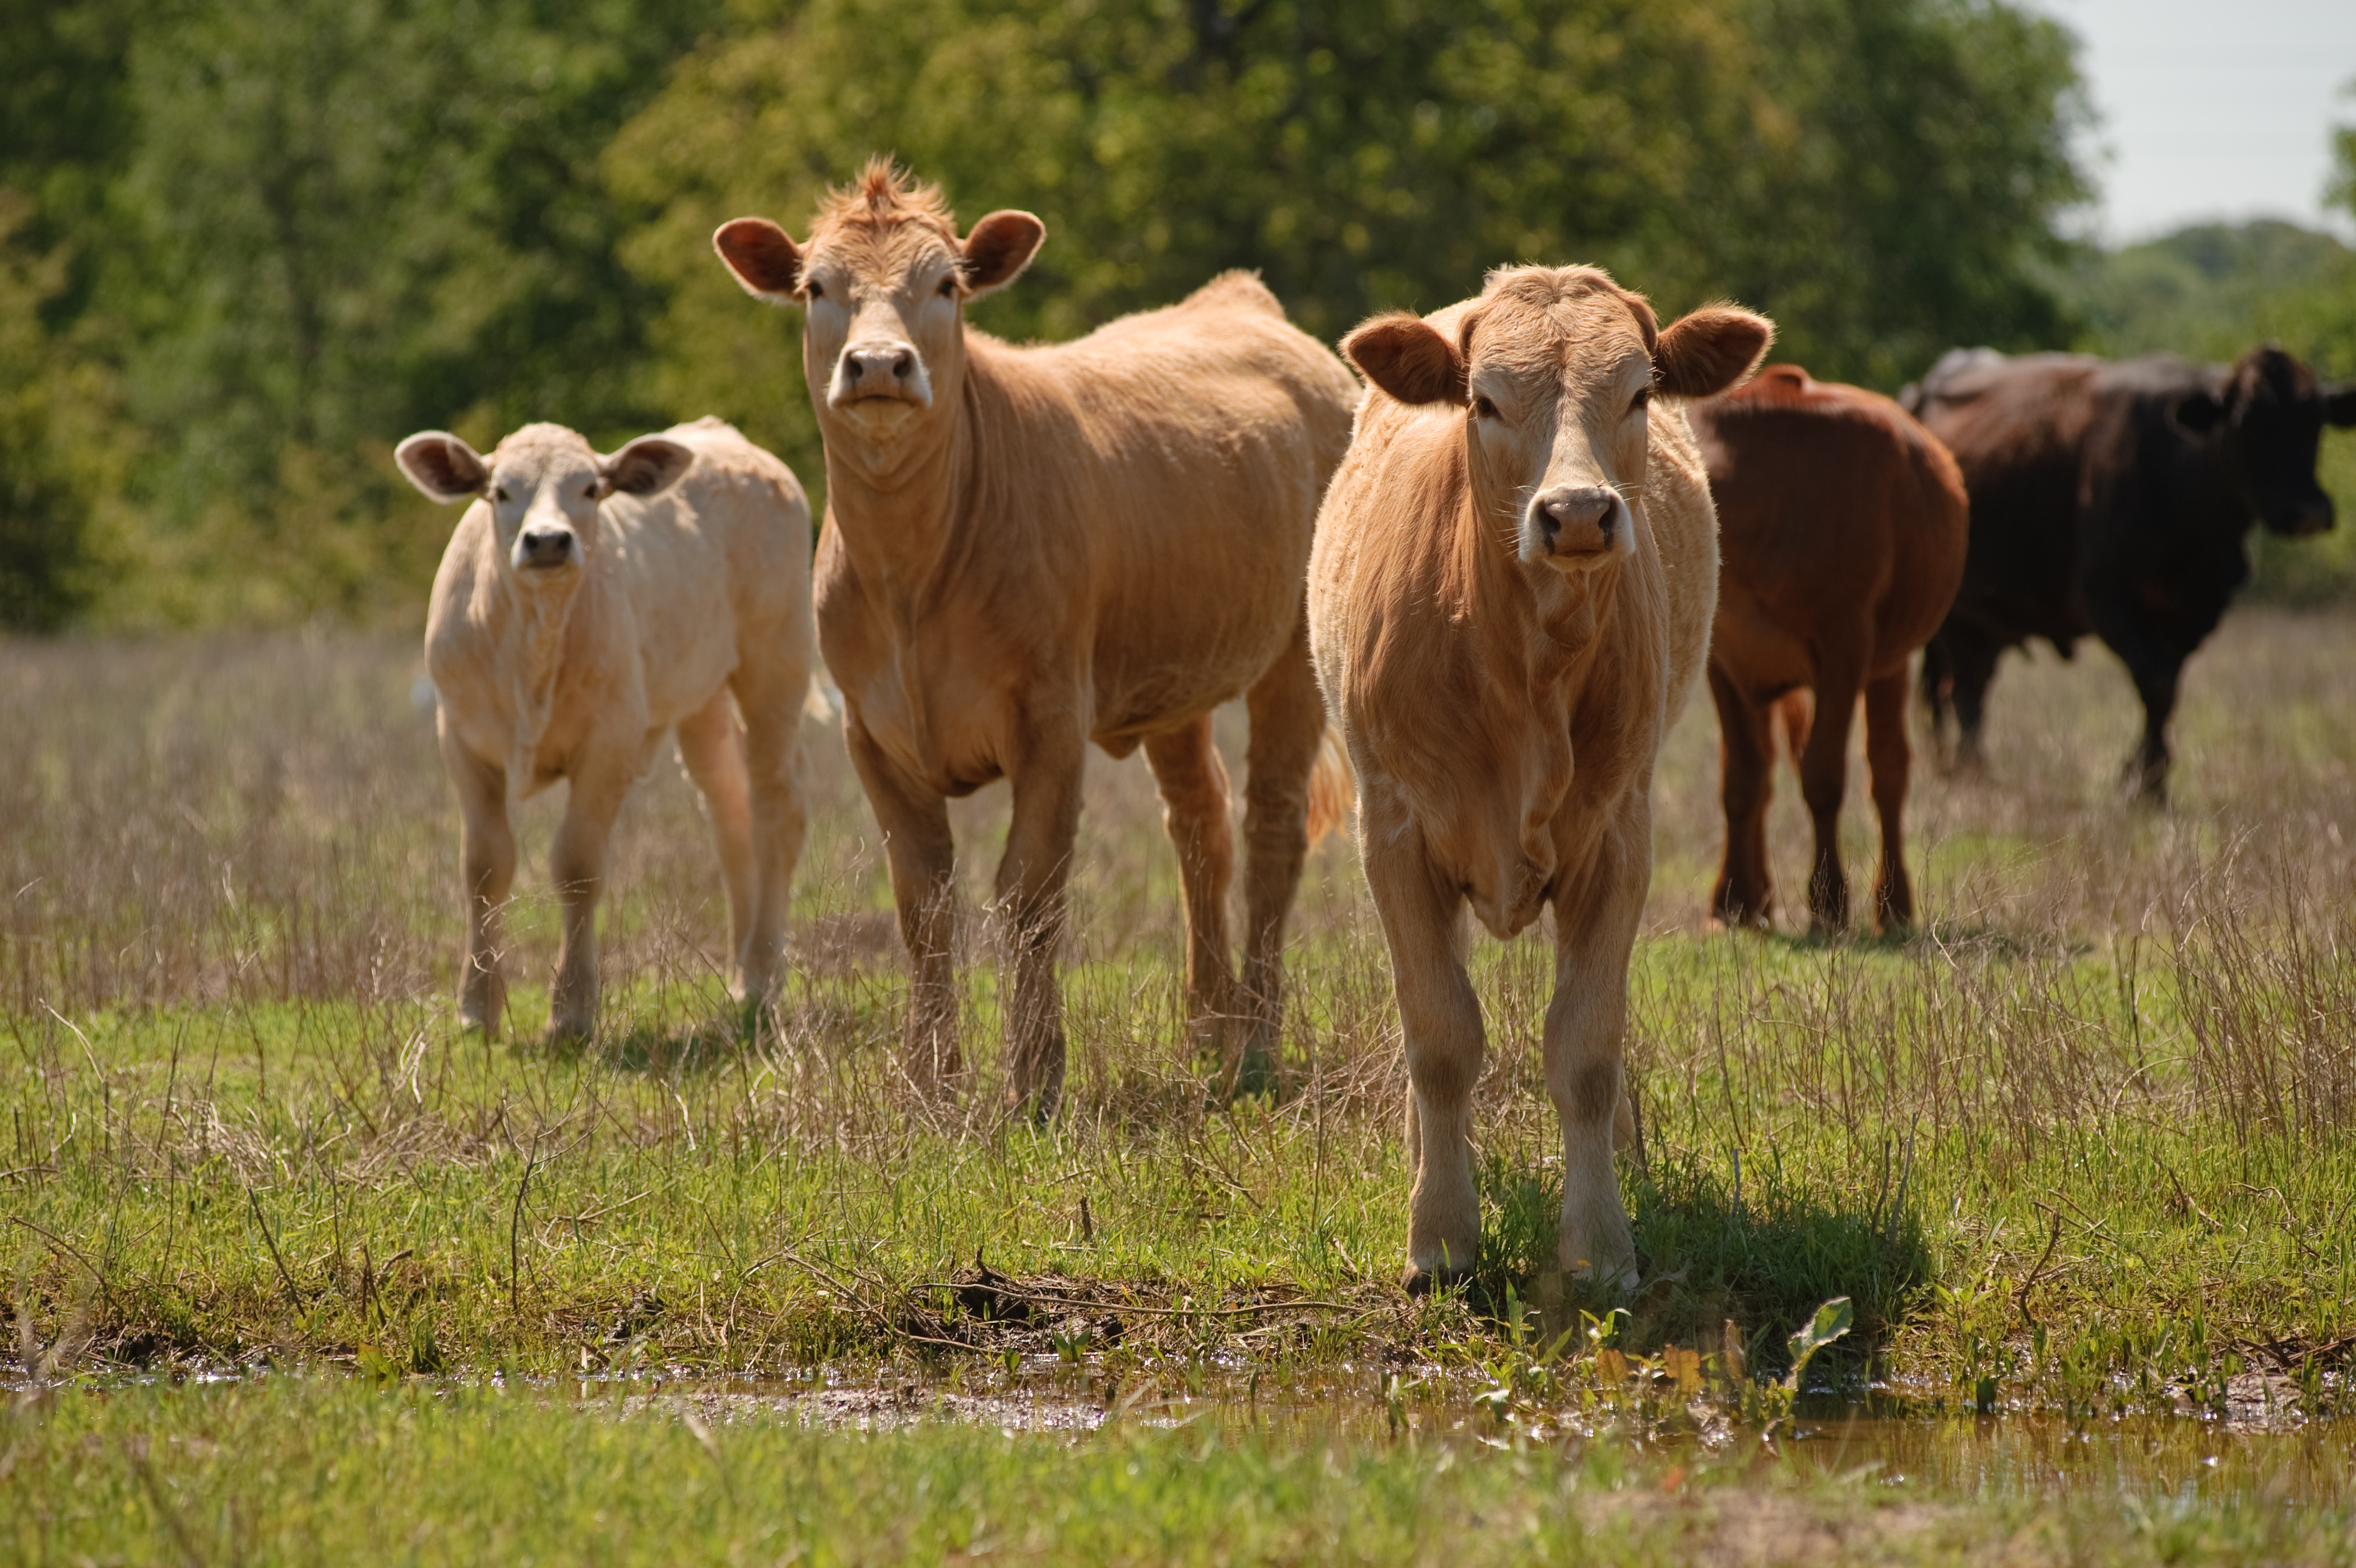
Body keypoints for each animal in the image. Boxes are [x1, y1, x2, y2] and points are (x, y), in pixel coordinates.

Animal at [395, 418, 814, 1042]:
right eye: (501, 491)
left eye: (590, 489)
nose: (547, 541)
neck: (534, 643)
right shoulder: (462, 739)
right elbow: (485, 864)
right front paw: (476, 1006)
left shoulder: (611, 741)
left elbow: (576, 866)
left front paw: (571, 1010)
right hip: (703, 699)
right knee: (730, 815)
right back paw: (742, 973)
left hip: (777, 664)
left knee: (776, 810)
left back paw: (763, 973)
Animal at [711, 161, 1356, 1115]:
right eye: (817, 288)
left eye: (945, 286)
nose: (878, 364)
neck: (911, 574)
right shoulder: (872, 730)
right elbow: (922, 900)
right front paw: (930, 1084)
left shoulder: (1050, 715)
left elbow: (1030, 891)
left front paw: (1034, 1079)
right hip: (1171, 674)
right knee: (1199, 820)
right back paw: (1207, 1032)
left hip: (1291, 656)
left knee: (1271, 825)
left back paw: (1254, 1048)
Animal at [1309, 264, 1771, 1292]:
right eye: (1483, 401)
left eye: (1638, 391)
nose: (1577, 514)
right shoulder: (1392, 831)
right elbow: (1439, 1036)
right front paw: (1439, 1234)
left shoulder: (1618, 837)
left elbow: (1585, 1047)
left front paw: (1599, 1240)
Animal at [1688, 366, 1968, 933]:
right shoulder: (1722, 659)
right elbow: (1742, 779)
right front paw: (1731, 901)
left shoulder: (1846, 646)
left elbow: (1822, 775)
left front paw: (1828, 901)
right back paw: (1759, 899)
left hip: (1890, 663)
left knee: (1887, 771)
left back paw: (1892, 904)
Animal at [1903, 345, 2356, 800]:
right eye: (2246, 422)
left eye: (2315, 419)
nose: (2310, 512)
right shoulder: (2105, 601)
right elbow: (2156, 681)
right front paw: (2141, 783)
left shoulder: (2192, 612)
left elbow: (2166, 691)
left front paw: (2149, 782)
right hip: (1958, 618)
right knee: (1964, 689)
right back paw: (1971, 772)